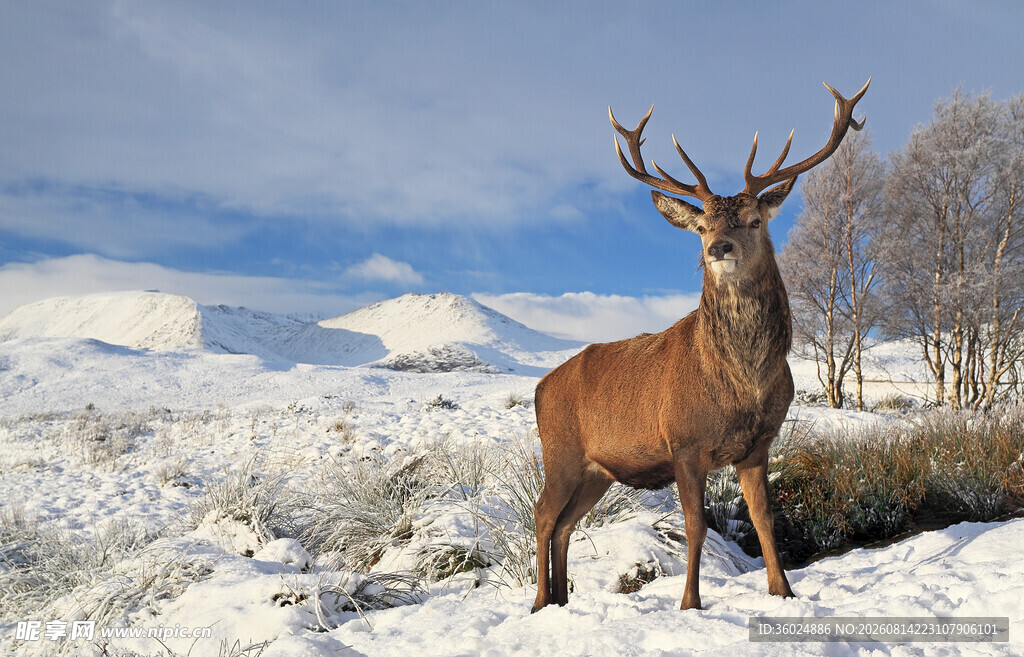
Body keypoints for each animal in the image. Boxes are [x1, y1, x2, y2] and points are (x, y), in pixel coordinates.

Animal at [531, 80, 870, 612]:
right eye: (702, 226)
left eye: (754, 220)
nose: (718, 249)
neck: (743, 383)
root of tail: (540, 388)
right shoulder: (684, 444)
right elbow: (696, 527)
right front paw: (690, 603)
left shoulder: (757, 445)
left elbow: (764, 520)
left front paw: (783, 592)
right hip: (560, 451)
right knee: (543, 515)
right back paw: (540, 602)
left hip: (597, 471)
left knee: (565, 523)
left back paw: (562, 602)